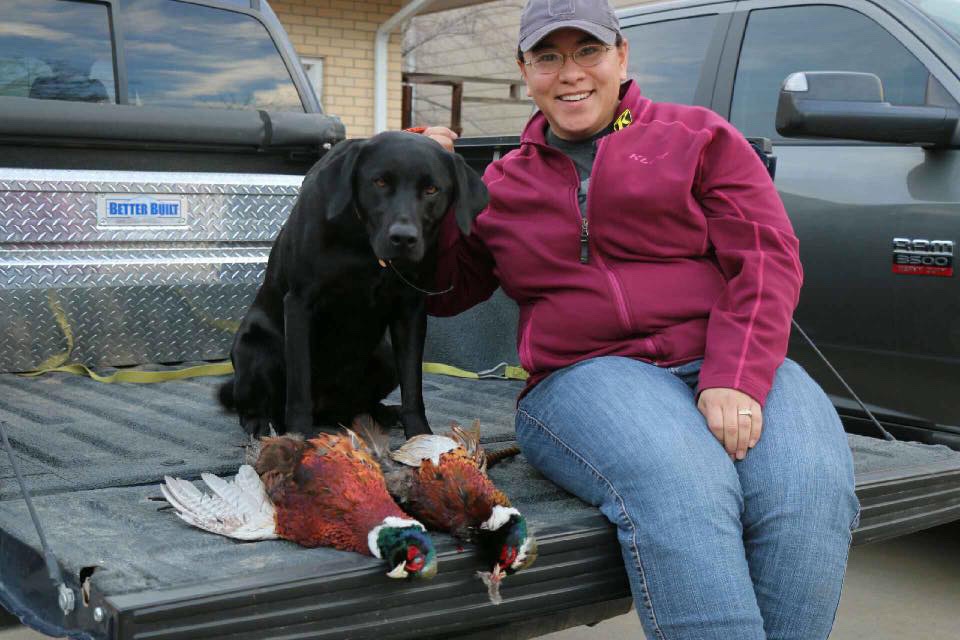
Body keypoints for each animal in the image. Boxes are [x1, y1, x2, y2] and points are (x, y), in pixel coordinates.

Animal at [218, 130, 488, 440]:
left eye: (431, 189)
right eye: (380, 182)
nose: (403, 238)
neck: (365, 246)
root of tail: (326, 406)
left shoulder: (411, 309)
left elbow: (413, 386)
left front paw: (420, 436)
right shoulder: (299, 303)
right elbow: (299, 387)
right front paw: (299, 439)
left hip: (385, 356)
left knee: (359, 405)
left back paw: (382, 413)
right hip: (256, 350)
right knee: (253, 404)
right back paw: (261, 423)